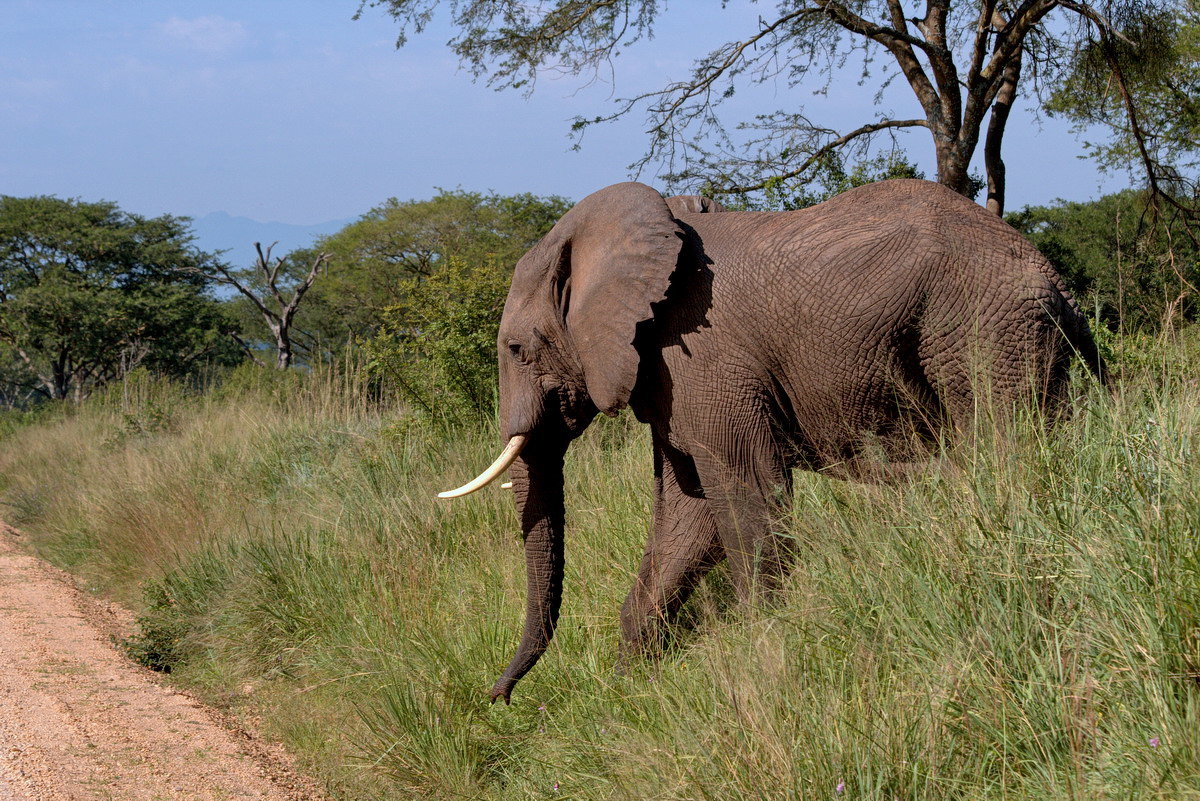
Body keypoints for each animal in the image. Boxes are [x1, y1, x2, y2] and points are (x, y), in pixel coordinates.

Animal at [436, 179, 1099, 700]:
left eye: (516, 349)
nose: (496, 697)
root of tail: (1055, 279)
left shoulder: (703, 360)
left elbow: (746, 496)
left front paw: (765, 652)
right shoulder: (668, 376)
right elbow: (689, 518)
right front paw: (630, 689)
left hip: (984, 331)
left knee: (1004, 450)